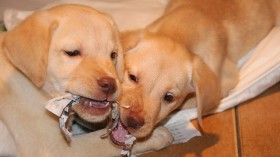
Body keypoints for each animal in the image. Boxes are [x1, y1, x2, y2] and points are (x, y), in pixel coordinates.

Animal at [0, 4, 172, 156]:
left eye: (113, 55)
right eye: (72, 52)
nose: (111, 85)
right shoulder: (54, 148)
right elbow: (99, 142)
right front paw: (157, 135)